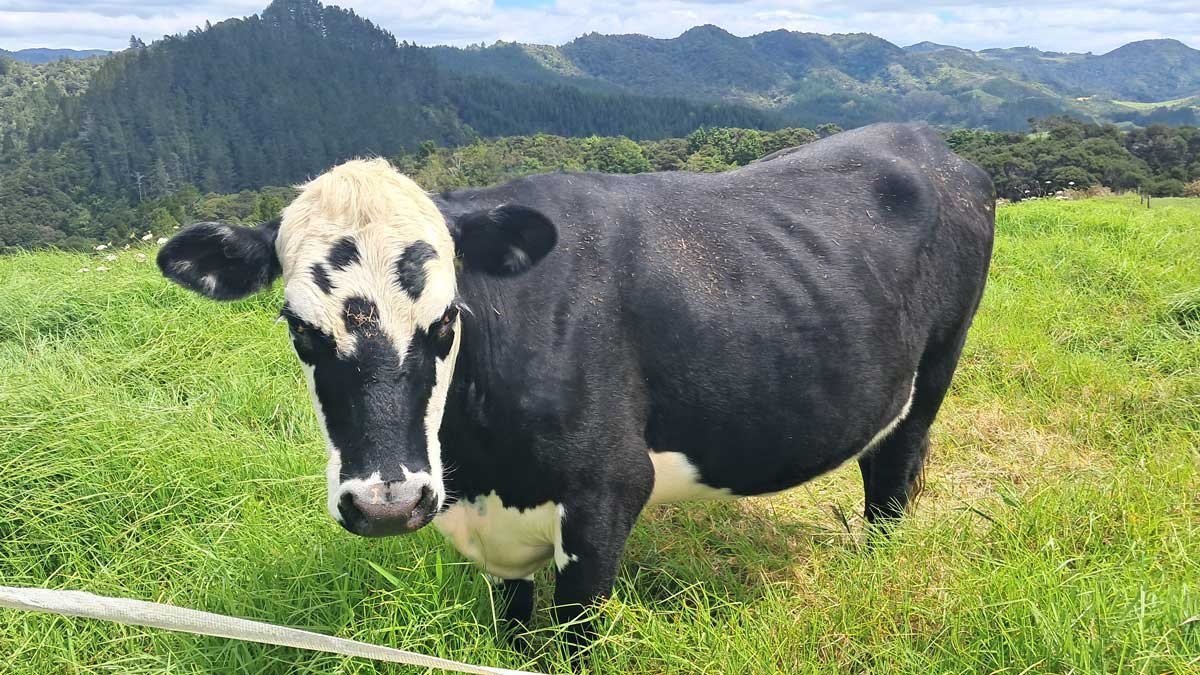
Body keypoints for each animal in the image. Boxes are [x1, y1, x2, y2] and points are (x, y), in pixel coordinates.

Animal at [157, 123, 994, 647]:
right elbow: (515, 630)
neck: (478, 472)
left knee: (892, 473)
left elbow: (576, 640)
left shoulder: (605, 494)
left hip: (935, 371)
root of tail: (928, 140)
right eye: (300, 328)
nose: (389, 503)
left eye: (446, 320)